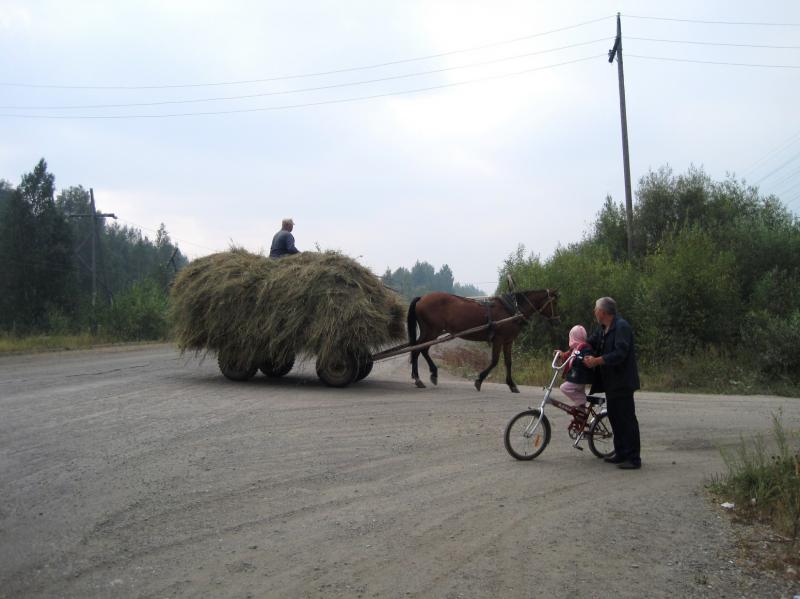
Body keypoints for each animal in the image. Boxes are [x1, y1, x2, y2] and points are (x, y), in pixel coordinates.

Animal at [410, 290, 560, 394]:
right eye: (554, 303)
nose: (557, 321)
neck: (511, 310)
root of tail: (422, 298)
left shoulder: (508, 341)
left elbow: (508, 362)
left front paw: (512, 384)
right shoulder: (498, 339)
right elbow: (494, 361)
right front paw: (479, 380)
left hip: (428, 331)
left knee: (419, 349)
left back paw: (425, 375)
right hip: (432, 331)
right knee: (419, 349)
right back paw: (420, 378)